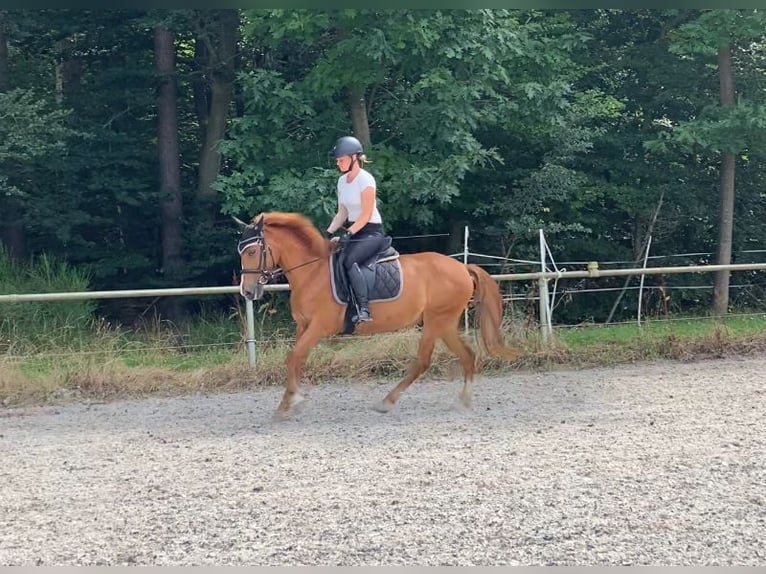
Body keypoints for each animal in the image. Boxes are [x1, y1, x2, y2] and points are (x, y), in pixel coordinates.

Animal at [238, 212, 528, 418]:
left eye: (252, 251)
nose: (248, 291)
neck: (312, 272)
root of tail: (461, 267)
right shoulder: (304, 326)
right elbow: (296, 359)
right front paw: (289, 402)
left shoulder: (319, 327)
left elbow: (293, 357)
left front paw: (292, 402)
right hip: (443, 323)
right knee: (467, 355)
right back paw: (463, 401)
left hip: (436, 321)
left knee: (423, 362)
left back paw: (387, 402)